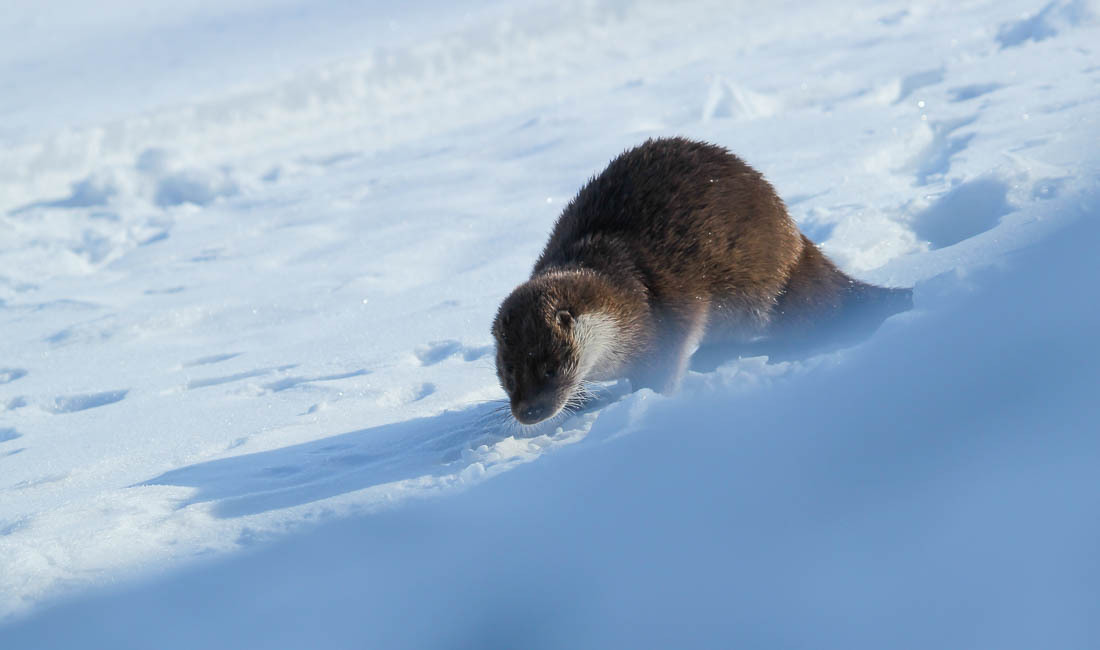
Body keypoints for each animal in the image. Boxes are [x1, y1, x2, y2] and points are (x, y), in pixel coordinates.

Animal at [492, 138, 910, 424]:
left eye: (551, 367)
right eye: (509, 373)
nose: (529, 413)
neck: (624, 295)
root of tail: (797, 244)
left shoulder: (667, 315)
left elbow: (663, 364)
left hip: (764, 293)